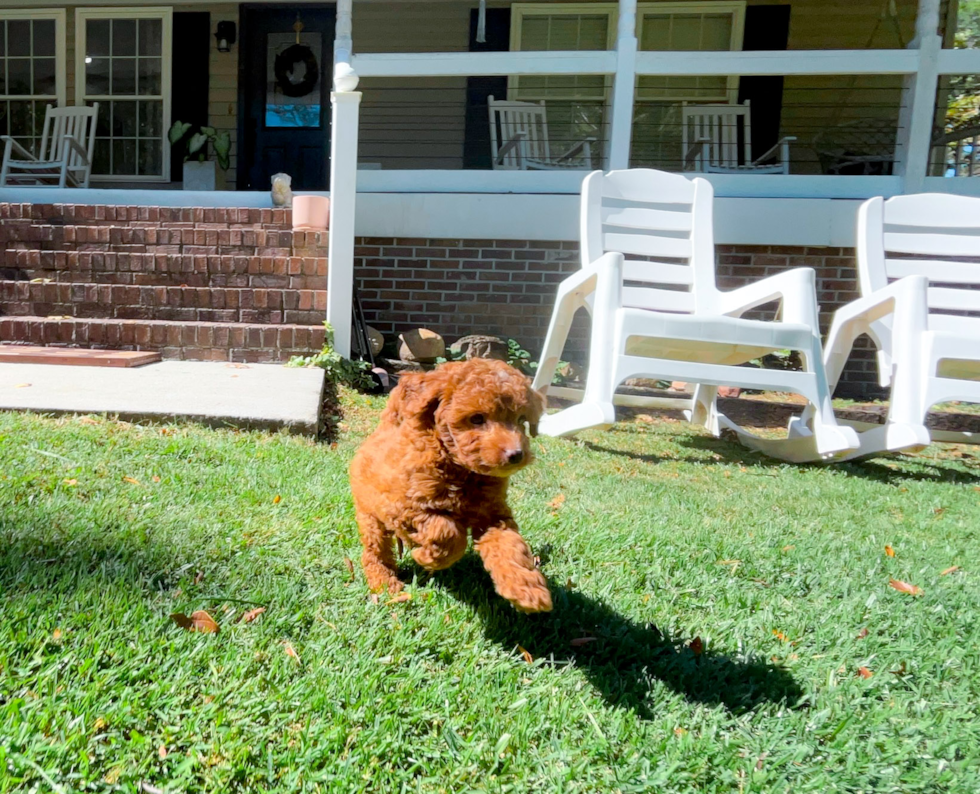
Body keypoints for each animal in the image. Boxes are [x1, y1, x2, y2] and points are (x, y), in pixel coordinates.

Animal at [350, 358, 552, 612]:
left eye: (520, 420)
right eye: (476, 418)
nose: (516, 454)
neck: (461, 470)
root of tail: (384, 428)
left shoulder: (494, 516)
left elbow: (510, 546)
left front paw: (526, 589)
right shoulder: (403, 508)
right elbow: (448, 532)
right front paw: (428, 557)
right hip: (369, 516)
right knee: (375, 551)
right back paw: (384, 582)